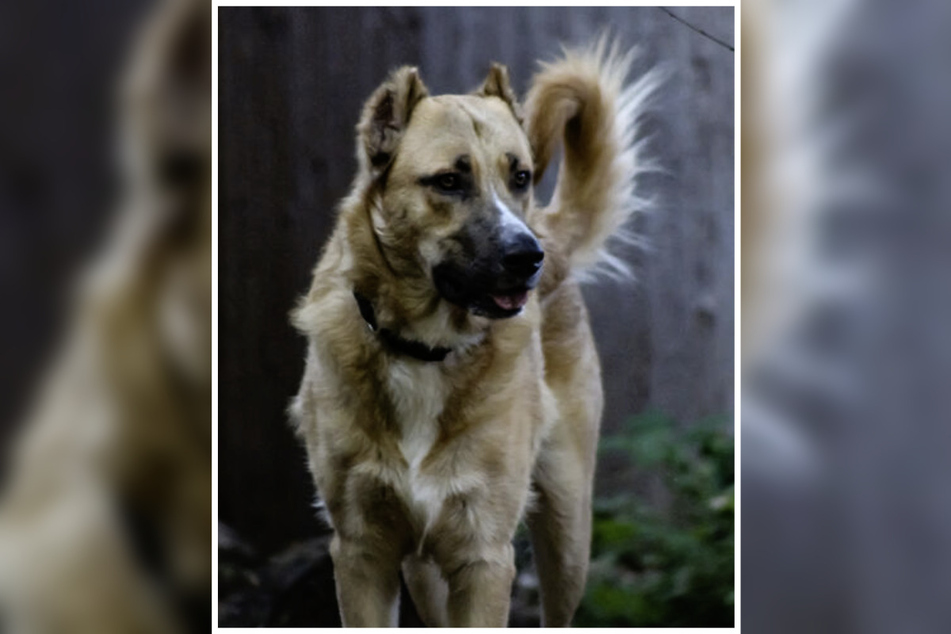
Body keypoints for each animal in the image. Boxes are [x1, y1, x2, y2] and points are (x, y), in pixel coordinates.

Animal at [290, 40, 660, 628]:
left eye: (521, 176)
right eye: (448, 180)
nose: (527, 258)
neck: (425, 350)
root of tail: (551, 237)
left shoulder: (485, 557)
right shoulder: (361, 554)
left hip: (567, 532)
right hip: (424, 570)